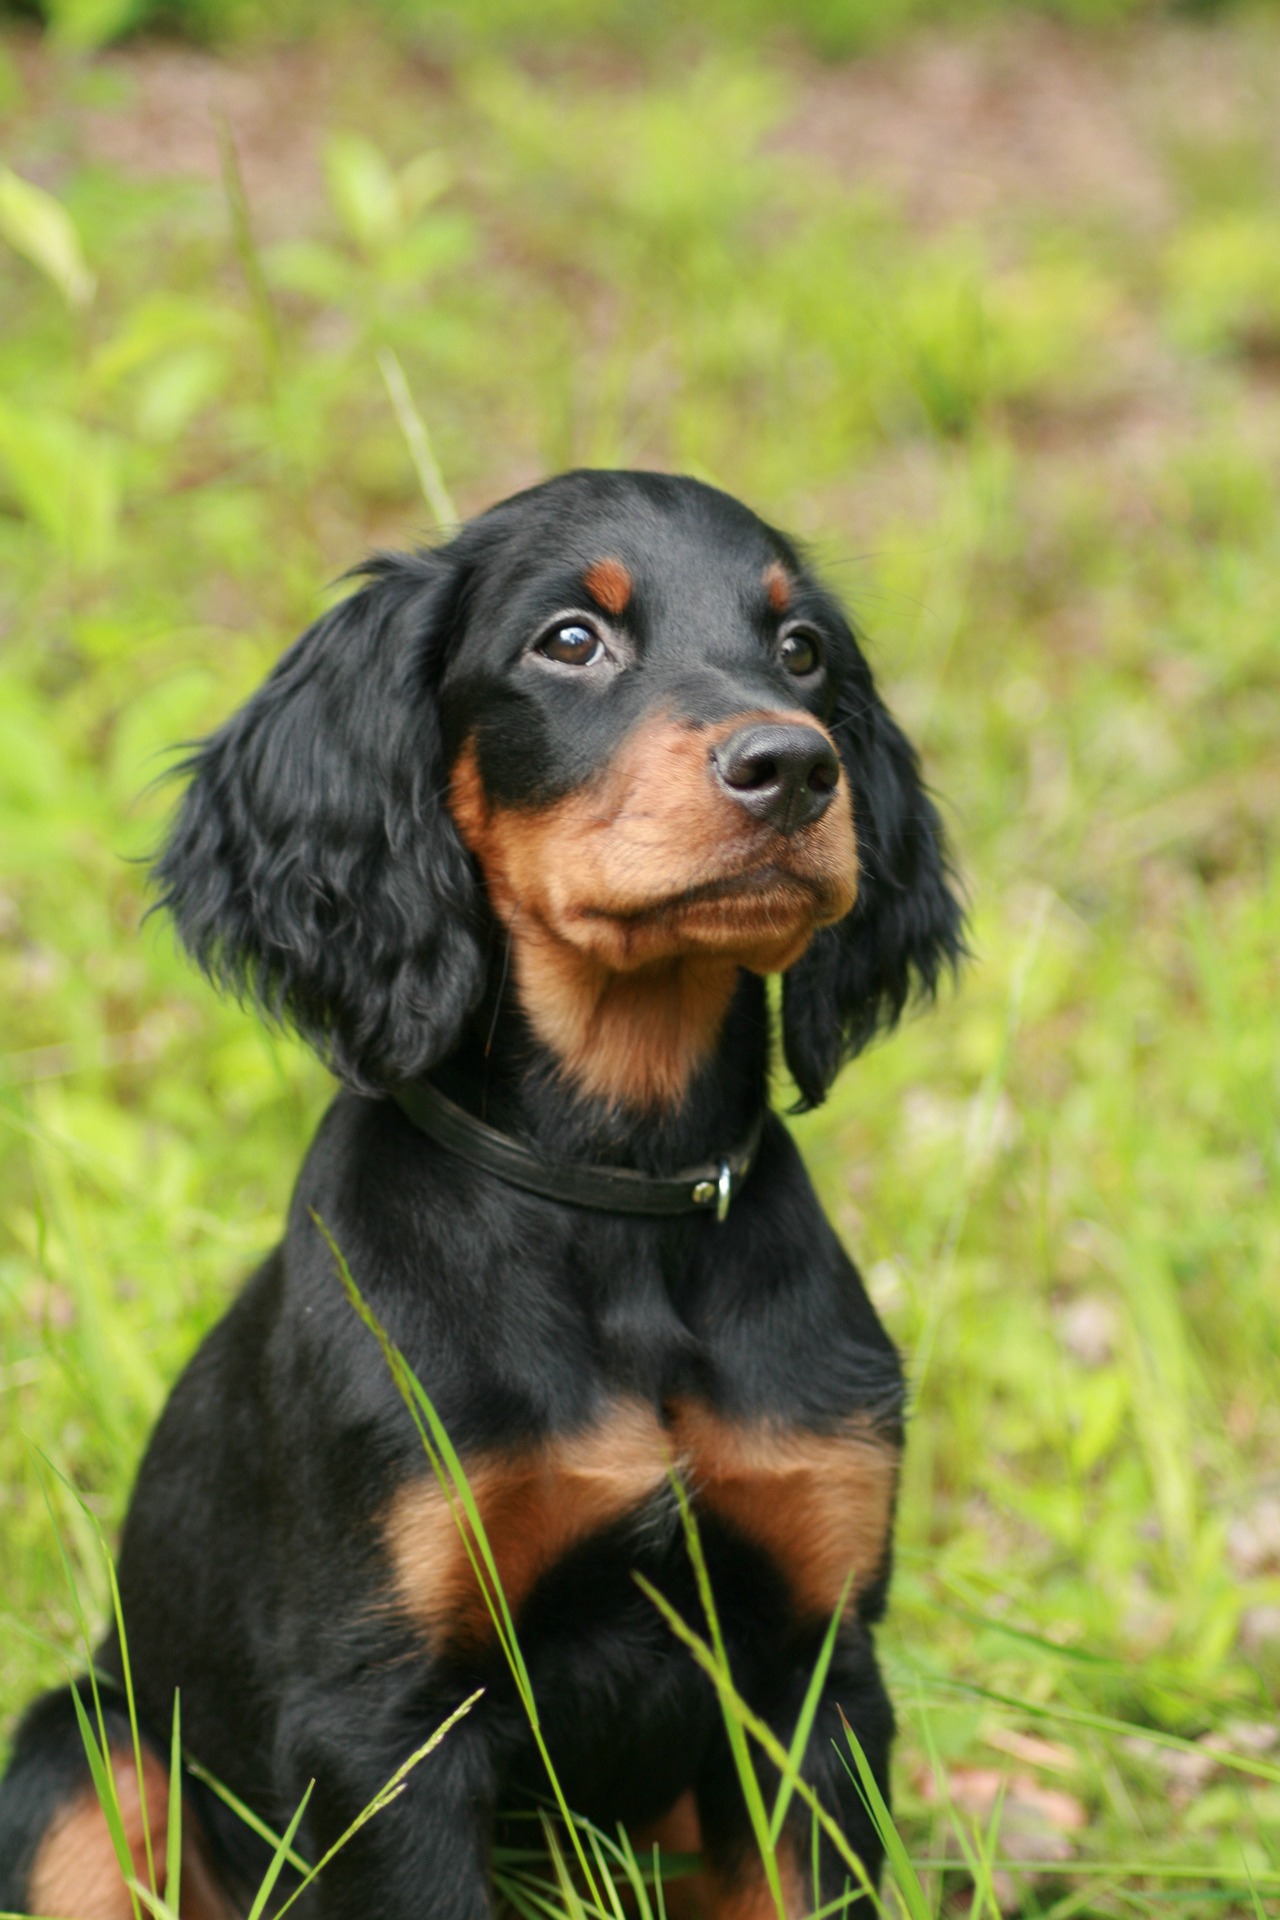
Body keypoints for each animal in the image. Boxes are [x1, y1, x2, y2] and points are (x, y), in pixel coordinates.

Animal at [0, 468, 959, 1920]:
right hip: (84, 1756)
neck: (613, 1187)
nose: (794, 766)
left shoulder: (811, 1682)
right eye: (570, 641)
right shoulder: (382, 1720)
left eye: (803, 653)